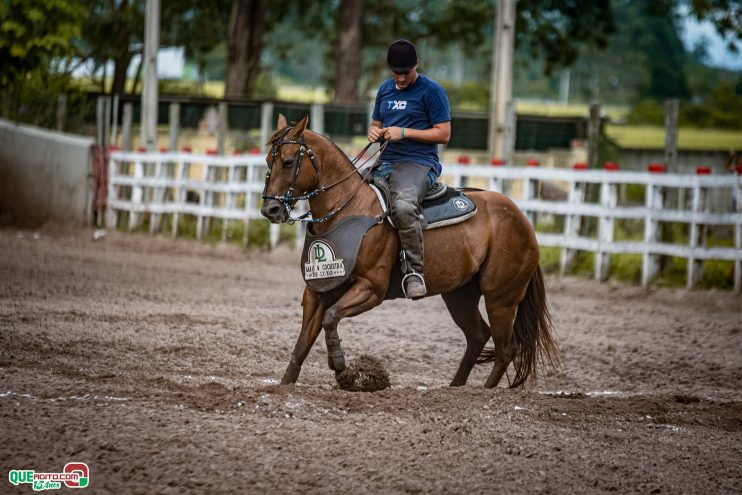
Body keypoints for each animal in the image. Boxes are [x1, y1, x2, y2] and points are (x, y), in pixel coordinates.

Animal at [262, 114, 560, 390]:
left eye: (288, 161)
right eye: (267, 161)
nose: (270, 210)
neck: (349, 210)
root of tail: (523, 221)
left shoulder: (371, 289)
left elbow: (330, 318)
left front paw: (341, 367)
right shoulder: (317, 290)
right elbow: (303, 342)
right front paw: (285, 383)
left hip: (501, 297)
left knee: (505, 349)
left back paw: (483, 392)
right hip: (460, 295)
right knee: (478, 336)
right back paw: (454, 388)